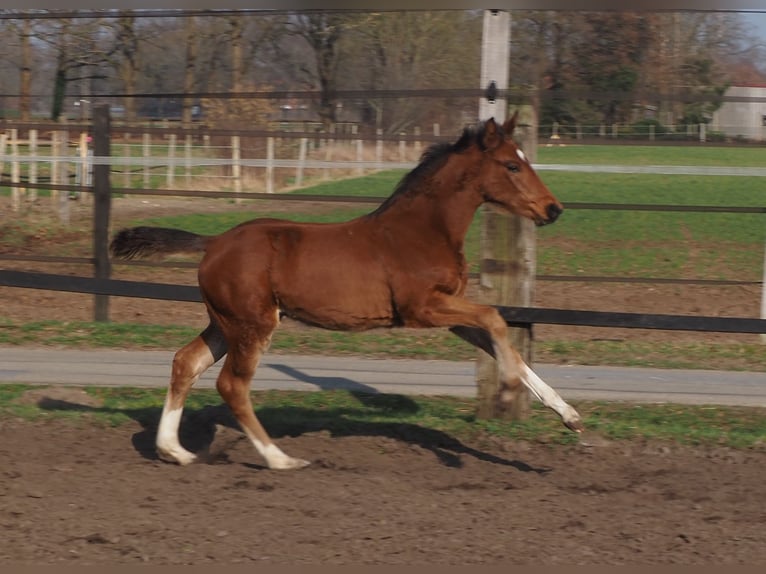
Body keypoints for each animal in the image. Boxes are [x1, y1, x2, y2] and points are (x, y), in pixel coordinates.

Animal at [110, 114, 583, 470]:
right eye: (512, 166)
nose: (554, 209)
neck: (423, 229)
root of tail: (213, 244)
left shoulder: (449, 314)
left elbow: (502, 340)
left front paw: (569, 416)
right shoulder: (423, 308)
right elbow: (496, 318)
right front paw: (505, 390)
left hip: (225, 323)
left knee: (185, 363)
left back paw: (175, 450)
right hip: (252, 324)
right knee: (232, 385)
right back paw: (281, 459)